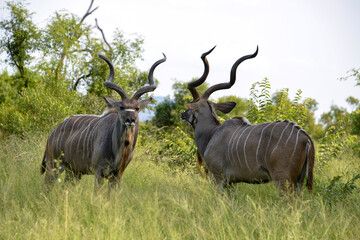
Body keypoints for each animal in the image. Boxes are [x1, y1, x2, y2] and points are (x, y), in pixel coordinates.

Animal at [40, 53, 166, 189]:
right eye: (121, 106)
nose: (130, 119)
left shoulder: (117, 175)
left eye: (137, 108)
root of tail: (53, 132)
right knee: (47, 186)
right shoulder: (98, 172)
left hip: (73, 171)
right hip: (54, 165)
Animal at [181, 47, 314, 193]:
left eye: (191, 104)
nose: (182, 114)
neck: (212, 133)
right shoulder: (232, 182)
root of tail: (306, 138)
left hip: (283, 180)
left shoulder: (218, 178)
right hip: (299, 181)